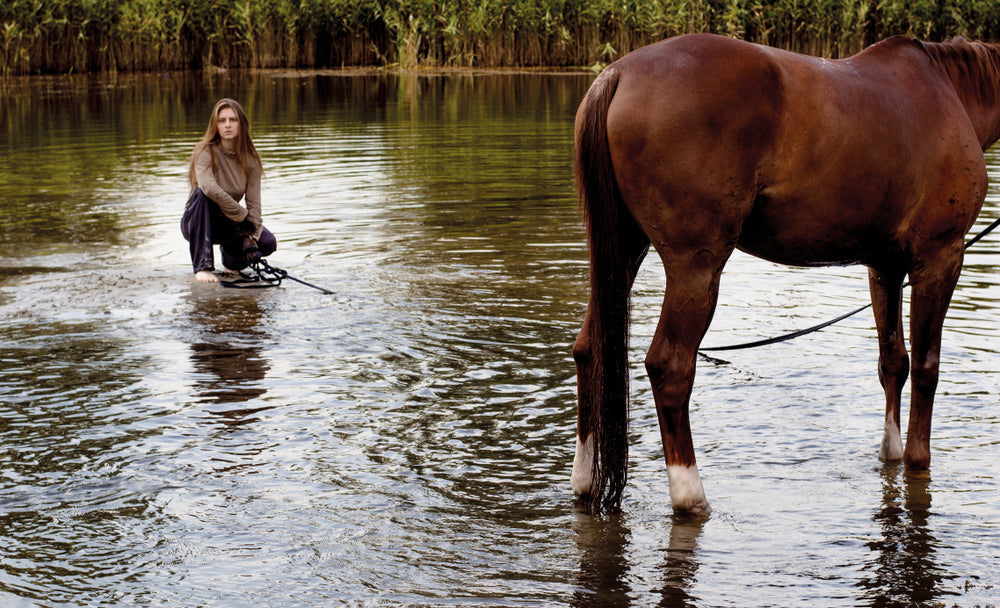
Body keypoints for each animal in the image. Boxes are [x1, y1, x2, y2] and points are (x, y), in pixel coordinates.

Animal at [571, 33, 1000, 515]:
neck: (948, 92)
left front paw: (889, 453)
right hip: (696, 267)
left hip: (624, 251)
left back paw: (585, 480)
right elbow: (927, 367)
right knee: (670, 367)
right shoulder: (940, 255)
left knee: (590, 349)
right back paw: (690, 495)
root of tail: (618, 73)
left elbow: (894, 362)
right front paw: (916, 461)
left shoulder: (884, 267)